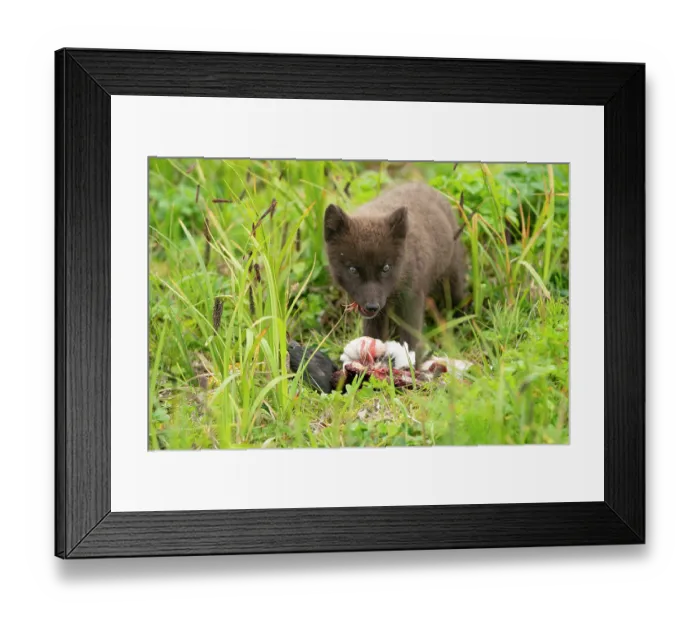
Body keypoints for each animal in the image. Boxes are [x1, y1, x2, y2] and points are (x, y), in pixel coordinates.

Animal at [323, 182, 466, 360]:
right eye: (353, 269)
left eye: (386, 268)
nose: (372, 306)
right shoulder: (377, 314)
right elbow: (373, 335)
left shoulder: (412, 298)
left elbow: (410, 340)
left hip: (452, 278)